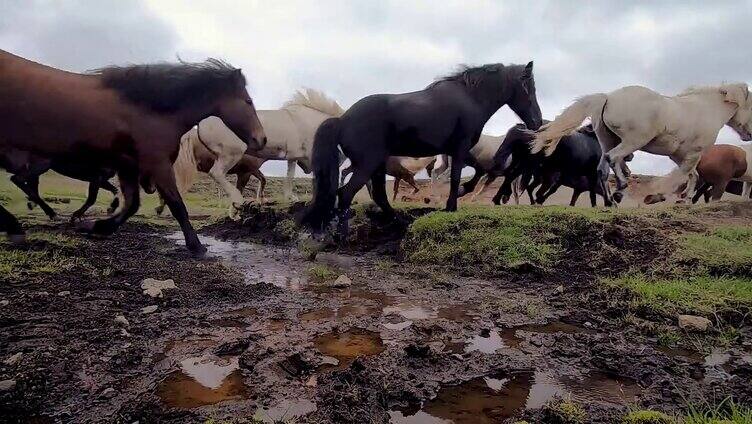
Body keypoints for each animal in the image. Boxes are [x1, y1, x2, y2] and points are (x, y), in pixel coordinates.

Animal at [0, 50, 266, 255]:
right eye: (248, 101)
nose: (261, 139)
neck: (148, 111)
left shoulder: (127, 165)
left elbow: (131, 204)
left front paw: (96, 227)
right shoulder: (157, 164)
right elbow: (176, 205)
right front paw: (196, 246)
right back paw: (20, 225)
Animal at [302, 61, 544, 234]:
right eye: (528, 88)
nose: (537, 122)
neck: (470, 99)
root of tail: (342, 120)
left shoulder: (458, 151)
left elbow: (474, 172)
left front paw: (457, 196)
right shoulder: (460, 148)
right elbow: (457, 177)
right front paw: (451, 206)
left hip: (377, 166)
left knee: (378, 195)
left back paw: (400, 221)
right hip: (368, 164)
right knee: (346, 193)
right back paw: (343, 233)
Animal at [532, 83, 748, 205]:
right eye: (750, 105)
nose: (749, 135)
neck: (706, 110)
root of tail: (608, 97)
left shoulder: (680, 155)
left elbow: (692, 175)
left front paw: (683, 199)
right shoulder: (693, 153)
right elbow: (680, 177)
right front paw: (658, 196)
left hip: (608, 140)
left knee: (603, 168)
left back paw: (611, 200)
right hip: (633, 141)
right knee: (613, 158)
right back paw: (620, 189)